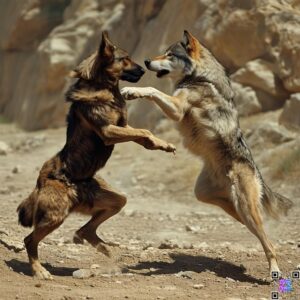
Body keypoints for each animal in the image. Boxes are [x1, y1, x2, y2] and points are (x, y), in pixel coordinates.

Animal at [17, 31, 176, 280]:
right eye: (125, 59)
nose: (143, 69)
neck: (102, 85)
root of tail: (40, 182)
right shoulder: (109, 132)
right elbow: (144, 131)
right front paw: (160, 142)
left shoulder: (123, 127)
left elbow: (143, 134)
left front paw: (162, 144)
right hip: (55, 215)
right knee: (29, 239)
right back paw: (38, 270)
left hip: (113, 200)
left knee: (85, 229)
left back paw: (104, 250)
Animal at [120, 30, 292, 276]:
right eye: (164, 52)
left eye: (170, 54)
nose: (146, 61)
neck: (200, 77)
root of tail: (256, 171)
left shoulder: (177, 108)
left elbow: (152, 90)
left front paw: (131, 91)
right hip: (208, 195)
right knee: (250, 222)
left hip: (244, 206)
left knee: (268, 242)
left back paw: (274, 271)